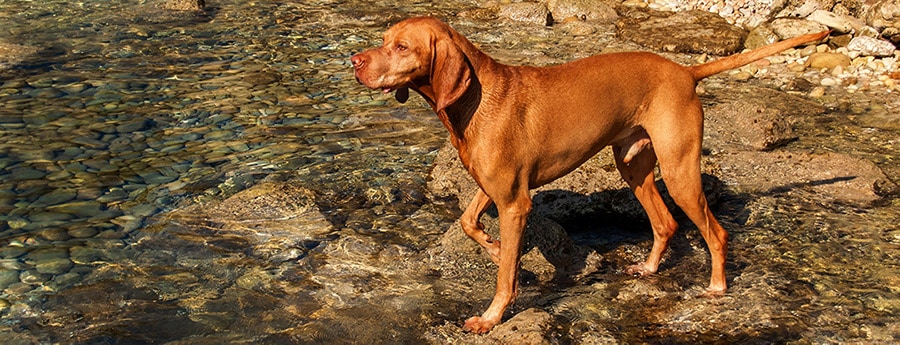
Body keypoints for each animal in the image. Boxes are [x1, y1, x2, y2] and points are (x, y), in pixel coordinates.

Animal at [352, 16, 828, 334]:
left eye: (401, 47)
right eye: (383, 41)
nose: (354, 60)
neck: (475, 99)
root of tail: (685, 71)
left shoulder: (514, 202)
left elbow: (504, 277)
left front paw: (491, 316)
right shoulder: (495, 188)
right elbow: (470, 222)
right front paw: (495, 248)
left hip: (679, 171)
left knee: (716, 232)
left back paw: (715, 287)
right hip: (633, 166)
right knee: (665, 222)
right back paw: (649, 268)